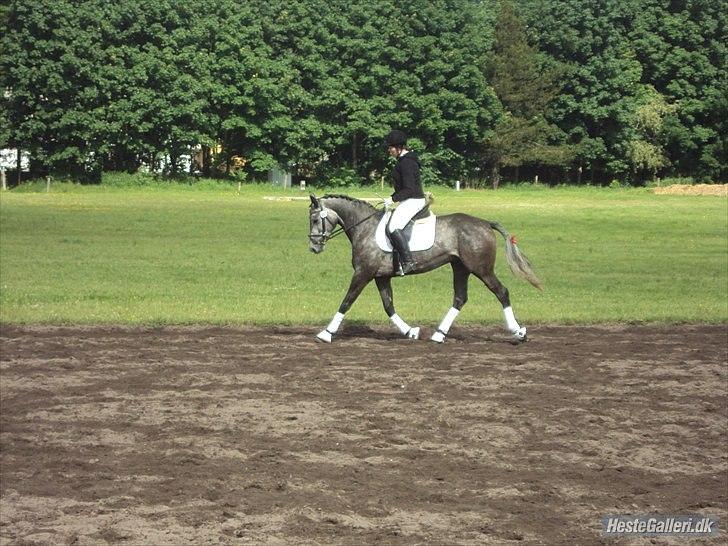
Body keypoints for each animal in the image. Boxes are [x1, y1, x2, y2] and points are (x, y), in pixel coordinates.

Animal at [308, 193, 540, 342]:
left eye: (314, 219)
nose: (313, 247)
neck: (364, 227)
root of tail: (484, 223)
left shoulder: (363, 273)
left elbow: (347, 301)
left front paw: (326, 333)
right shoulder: (381, 276)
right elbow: (388, 306)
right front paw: (410, 331)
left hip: (481, 269)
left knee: (501, 292)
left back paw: (518, 332)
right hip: (460, 267)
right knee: (460, 298)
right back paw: (438, 335)